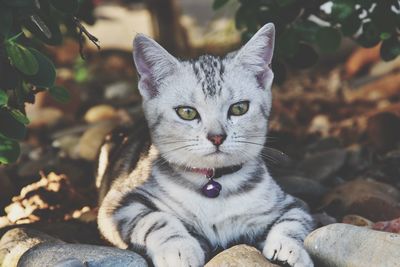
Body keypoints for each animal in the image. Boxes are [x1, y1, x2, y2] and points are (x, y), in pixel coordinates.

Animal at [97, 23, 316, 267]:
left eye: (239, 108)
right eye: (187, 112)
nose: (217, 137)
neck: (214, 184)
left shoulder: (288, 203)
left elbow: (294, 220)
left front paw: (290, 249)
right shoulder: (118, 204)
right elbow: (156, 219)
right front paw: (178, 248)